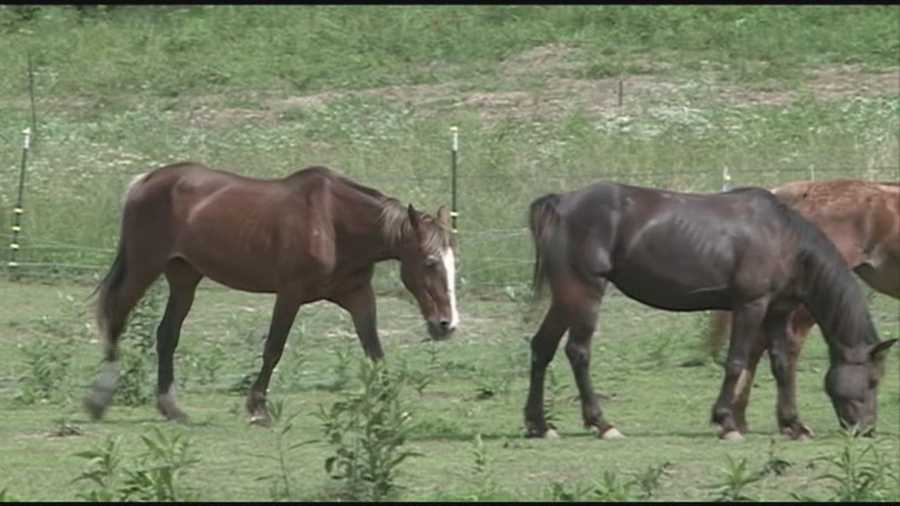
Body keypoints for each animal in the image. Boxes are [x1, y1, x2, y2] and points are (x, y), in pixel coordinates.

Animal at [85, 161, 460, 422]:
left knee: (166, 335)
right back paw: (99, 399)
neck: (334, 223)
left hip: (184, 278)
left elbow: (376, 352)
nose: (447, 325)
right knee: (116, 316)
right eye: (429, 262)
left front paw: (390, 406)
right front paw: (257, 408)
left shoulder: (358, 296)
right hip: (144, 267)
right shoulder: (290, 293)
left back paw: (171, 407)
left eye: (453, 263)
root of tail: (144, 181)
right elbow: (273, 349)